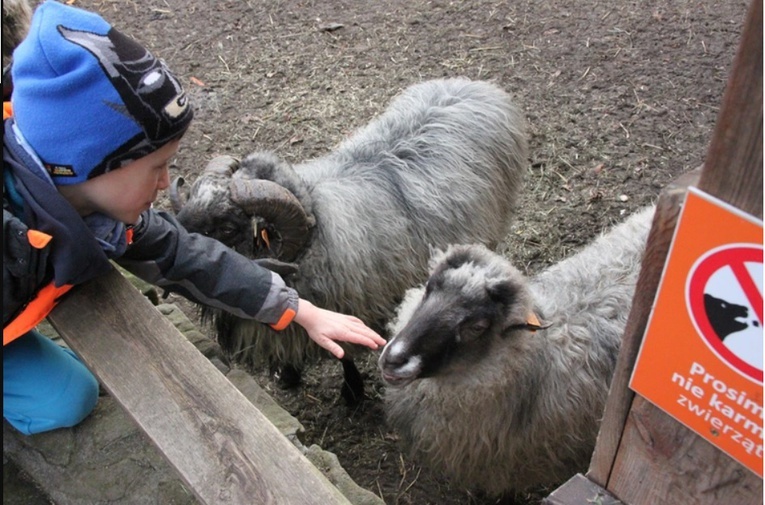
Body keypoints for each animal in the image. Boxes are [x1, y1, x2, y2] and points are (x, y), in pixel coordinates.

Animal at [172, 79, 532, 402]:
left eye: (228, 226)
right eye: (193, 199)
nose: (173, 231)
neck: (316, 236)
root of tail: (473, 84)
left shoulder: (349, 303)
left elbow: (343, 351)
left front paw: (353, 392)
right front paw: (289, 375)